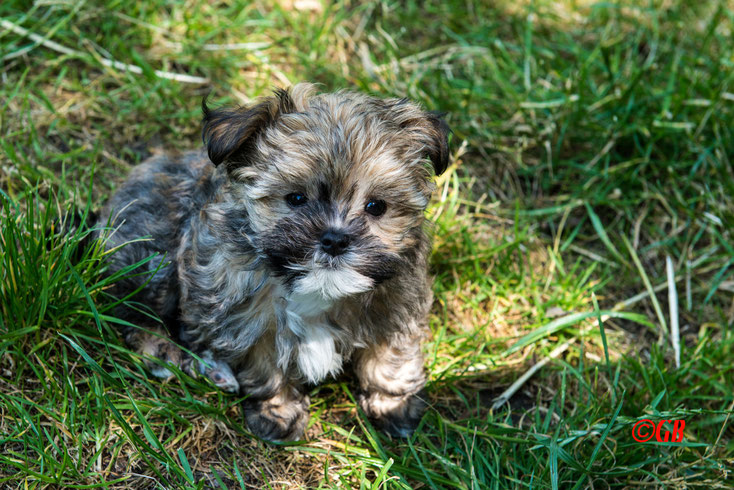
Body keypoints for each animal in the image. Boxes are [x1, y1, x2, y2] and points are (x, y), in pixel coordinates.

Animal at [95, 82, 452, 442]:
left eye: (376, 206)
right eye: (295, 198)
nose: (335, 239)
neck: (318, 290)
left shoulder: (396, 305)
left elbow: (390, 357)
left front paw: (394, 405)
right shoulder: (247, 319)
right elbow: (266, 368)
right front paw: (277, 411)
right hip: (151, 255)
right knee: (132, 312)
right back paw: (172, 355)